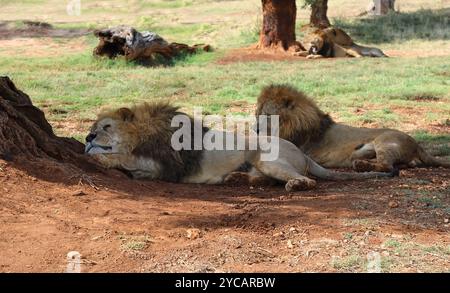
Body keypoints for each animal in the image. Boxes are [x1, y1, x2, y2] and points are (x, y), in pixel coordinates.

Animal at [84, 102, 394, 192]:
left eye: (106, 127)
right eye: (92, 127)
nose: (87, 138)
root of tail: (303, 154)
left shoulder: (167, 165)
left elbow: (127, 159)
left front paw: (102, 159)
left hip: (268, 159)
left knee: (307, 181)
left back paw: (295, 185)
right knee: (264, 180)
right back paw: (236, 178)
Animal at [256, 84, 450, 171]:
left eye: (266, 115)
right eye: (257, 113)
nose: (255, 129)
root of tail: (417, 144)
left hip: (384, 141)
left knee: (387, 166)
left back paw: (361, 164)